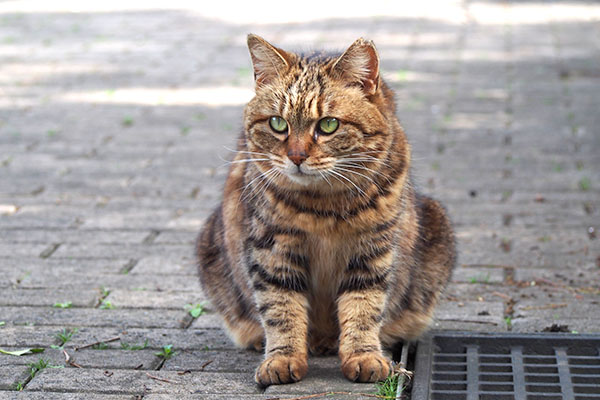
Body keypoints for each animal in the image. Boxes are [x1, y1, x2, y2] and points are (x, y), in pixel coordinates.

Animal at [197, 35, 454, 388]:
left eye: (328, 124)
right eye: (278, 123)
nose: (296, 157)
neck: (323, 207)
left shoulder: (373, 249)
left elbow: (364, 307)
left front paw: (363, 355)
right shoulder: (272, 248)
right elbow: (280, 307)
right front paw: (282, 358)